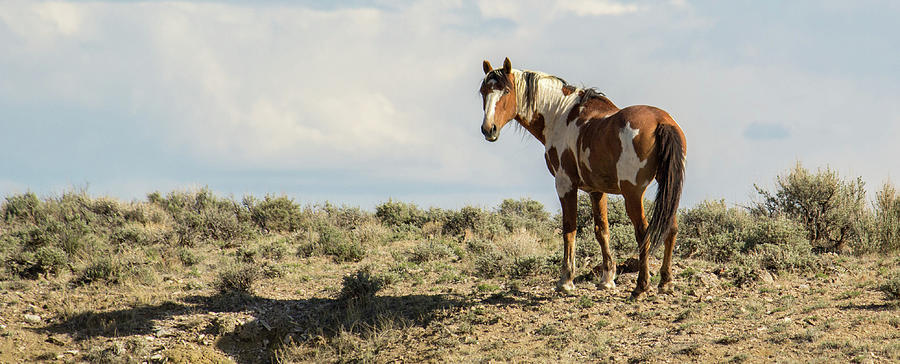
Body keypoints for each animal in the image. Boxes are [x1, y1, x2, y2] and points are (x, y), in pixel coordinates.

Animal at [478, 57, 684, 298]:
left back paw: (641, 286)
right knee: (671, 228)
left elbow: (569, 229)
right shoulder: (597, 190)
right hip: (667, 187)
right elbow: (602, 230)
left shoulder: (565, 184)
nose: (488, 129)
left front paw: (566, 280)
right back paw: (666, 282)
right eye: (483, 91)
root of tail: (662, 122)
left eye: (507, 91)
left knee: (643, 231)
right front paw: (607, 279)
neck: (560, 115)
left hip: (632, 193)